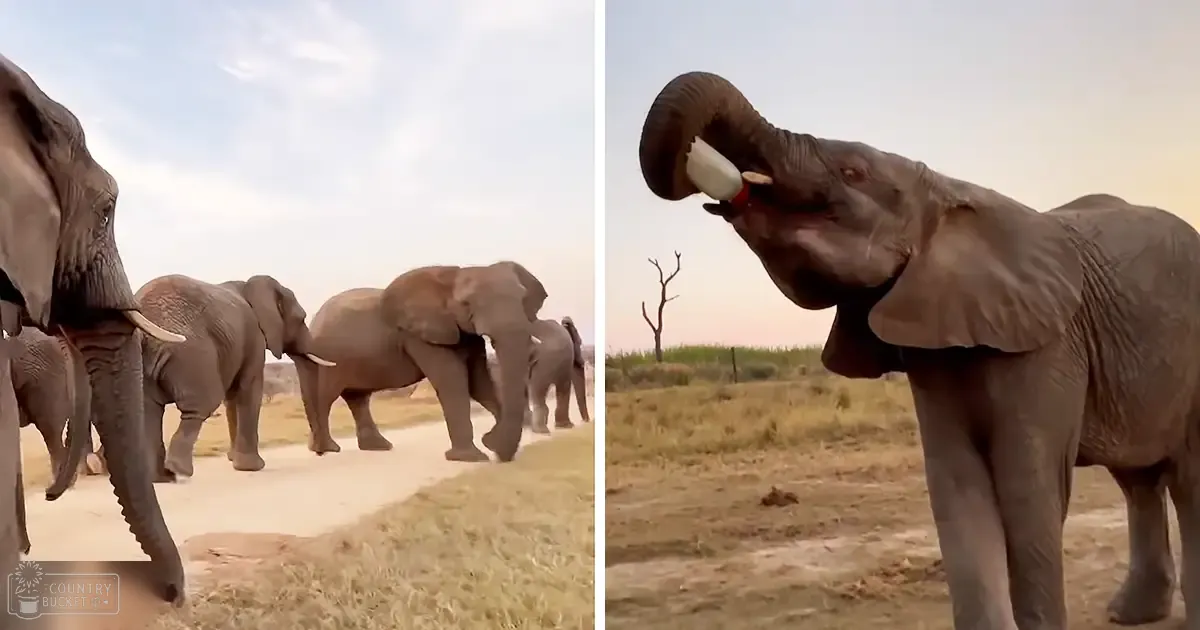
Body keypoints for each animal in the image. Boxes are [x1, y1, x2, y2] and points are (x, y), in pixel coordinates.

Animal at [131, 274, 336, 481]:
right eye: (301, 319)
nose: (322, 452)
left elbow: (231, 397)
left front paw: (234, 459)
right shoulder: (254, 337)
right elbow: (249, 390)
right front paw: (251, 467)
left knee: (150, 411)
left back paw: (161, 478)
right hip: (190, 352)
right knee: (201, 404)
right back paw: (179, 470)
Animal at [294, 261, 546, 463]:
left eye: (523, 298)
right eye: (466, 303)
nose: (492, 443)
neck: (452, 277)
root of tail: (315, 319)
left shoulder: (465, 333)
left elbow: (479, 384)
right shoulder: (419, 335)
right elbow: (452, 382)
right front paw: (471, 458)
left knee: (358, 398)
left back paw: (377, 447)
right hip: (329, 355)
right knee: (326, 397)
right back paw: (326, 449)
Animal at [638, 71, 1200, 629]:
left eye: (853, 171)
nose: (719, 188)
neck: (951, 192)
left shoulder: (1050, 343)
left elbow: (1028, 490)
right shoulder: (935, 347)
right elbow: (957, 486)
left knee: (1184, 479)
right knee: (1139, 479)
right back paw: (1130, 615)